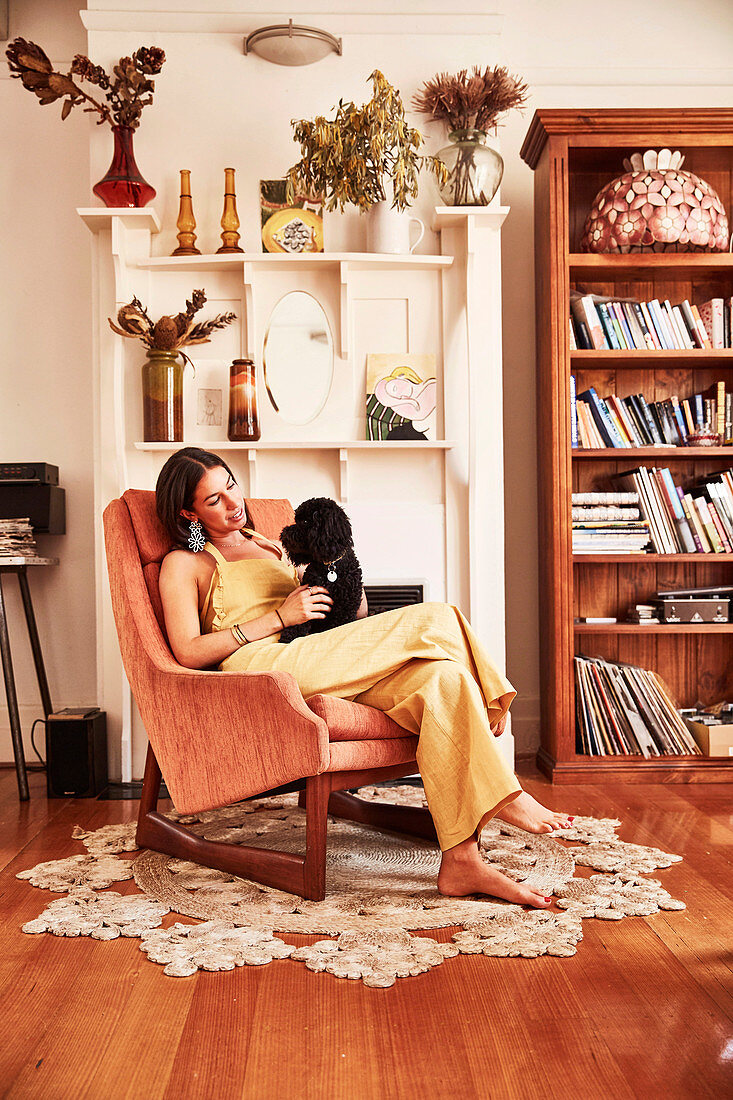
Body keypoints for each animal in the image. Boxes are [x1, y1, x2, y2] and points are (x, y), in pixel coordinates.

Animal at [277, 499, 363, 642]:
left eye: (305, 521)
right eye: (296, 519)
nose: (283, 533)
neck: (329, 566)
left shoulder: (346, 607)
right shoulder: (311, 599)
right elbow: (301, 620)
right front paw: (289, 636)